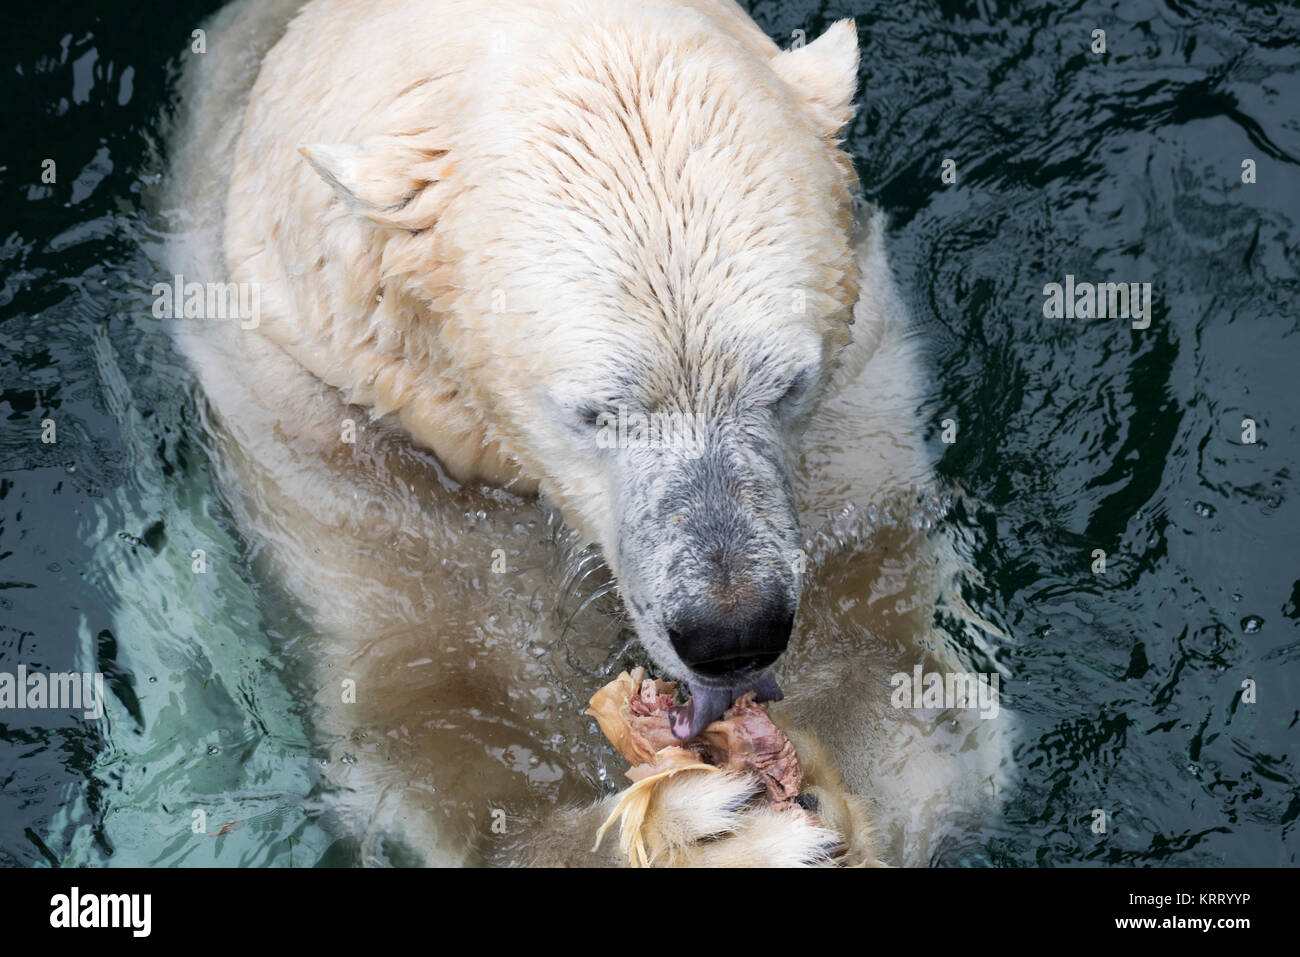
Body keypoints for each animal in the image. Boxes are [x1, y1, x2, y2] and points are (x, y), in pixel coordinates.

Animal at [162, 0, 1008, 868]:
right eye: (596, 410)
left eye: (786, 382)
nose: (732, 630)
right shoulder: (339, 444)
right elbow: (430, 722)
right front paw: (704, 828)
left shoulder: (856, 402)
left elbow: (897, 655)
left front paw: (816, 781)